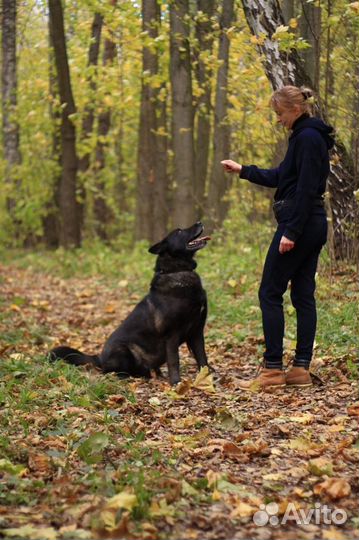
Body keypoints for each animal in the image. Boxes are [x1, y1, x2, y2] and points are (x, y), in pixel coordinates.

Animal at [50, 221, 211, 386]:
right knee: (111, 372)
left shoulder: (197, 331)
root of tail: (99, 358)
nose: (199, 222)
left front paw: (206, 377)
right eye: (179, 231)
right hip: (123, 350)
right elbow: (174, 361)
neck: (176, 271)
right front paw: (176, 383)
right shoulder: (172, 335)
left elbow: (202, 357)